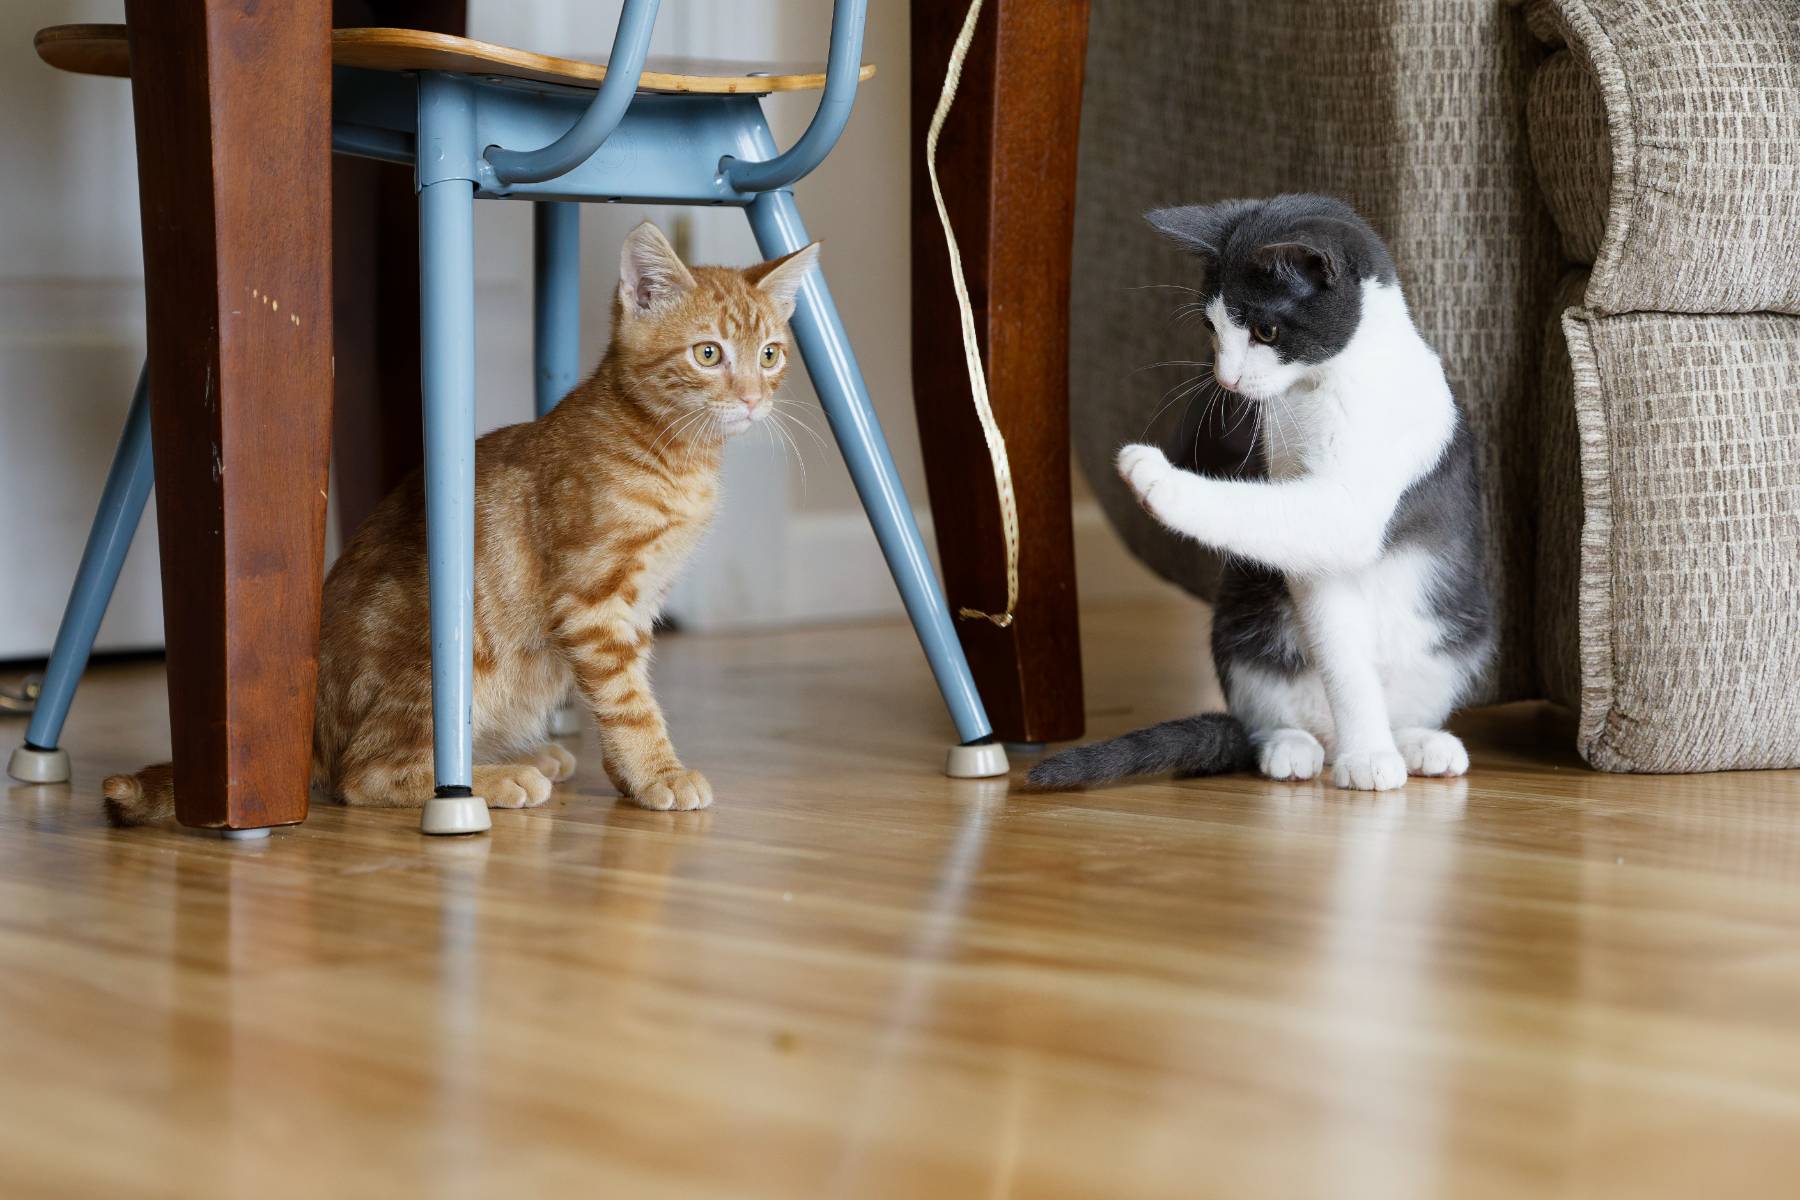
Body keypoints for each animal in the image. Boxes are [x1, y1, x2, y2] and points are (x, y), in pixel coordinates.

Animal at [104, 221, 819, 824]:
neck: (669, 452)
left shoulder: (637, 606)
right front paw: (657, 773)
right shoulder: (594, 601)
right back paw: (493, 780)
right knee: (361, 775)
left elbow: (628, 689)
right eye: (708, 354)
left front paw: (629, 776)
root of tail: (312, 736)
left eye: (771, 355)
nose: (752, 399)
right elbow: (628, 702)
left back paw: (521, 756)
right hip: (446, 657)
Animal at [1031, 194, 1492, 792]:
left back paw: (1416, 743)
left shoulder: (1360, 491)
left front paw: (1156, 477)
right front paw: (1366, 752)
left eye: (1267, 331)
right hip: (1242, 627)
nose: (1226, 379)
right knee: (1266, 715)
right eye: (1211, 325)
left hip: (1459, 635)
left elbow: (1296, 520)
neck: (1319, 390)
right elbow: (1338, 644)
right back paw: (1292, 747)